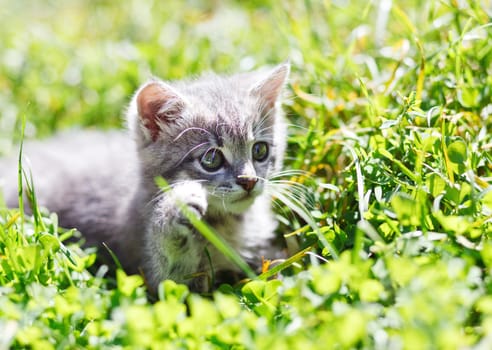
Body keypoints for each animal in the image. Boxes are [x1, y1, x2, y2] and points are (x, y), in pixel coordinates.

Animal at [0, 63, 290, 292]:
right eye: (211, 159)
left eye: (259, 150)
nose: (249, 181)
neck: (230, 225)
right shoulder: (153, 270)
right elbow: (172, 276)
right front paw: (176, 207)